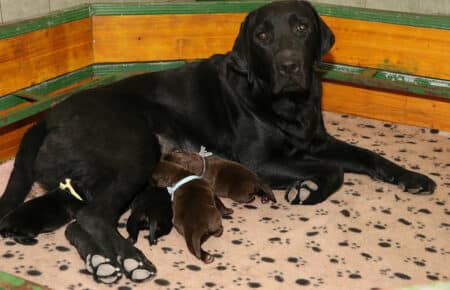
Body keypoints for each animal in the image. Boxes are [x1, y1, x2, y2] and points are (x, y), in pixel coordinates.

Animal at [0, 0, 436, 286]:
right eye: (263, 35)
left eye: (302, 29)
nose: (289, 66)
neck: (287, 103)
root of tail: (45, 119)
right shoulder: (258, 162)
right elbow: (333, 170)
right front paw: (308, 189)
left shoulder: (317, 140)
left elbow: (365, 155)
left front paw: (411, 177)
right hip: (133, 149)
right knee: (91, 216)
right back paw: (130, 260)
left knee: (78, 225)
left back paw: (100, 262)